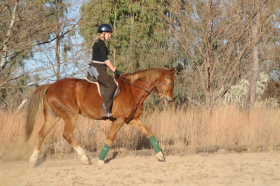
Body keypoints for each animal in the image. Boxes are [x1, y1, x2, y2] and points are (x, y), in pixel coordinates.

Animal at [25, 67, 175, 166]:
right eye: (171, 83)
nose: (170, 100)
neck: (132, 90)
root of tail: (51, 86)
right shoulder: (119, 120)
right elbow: (110, 138)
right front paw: (101, 160)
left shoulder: (132, 119)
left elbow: (149, 132)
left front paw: (161, 156)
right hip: (70, 116)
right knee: (67, 135)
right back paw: (85, 158)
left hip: (53, 117)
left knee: (41, 134)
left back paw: (32, 161)